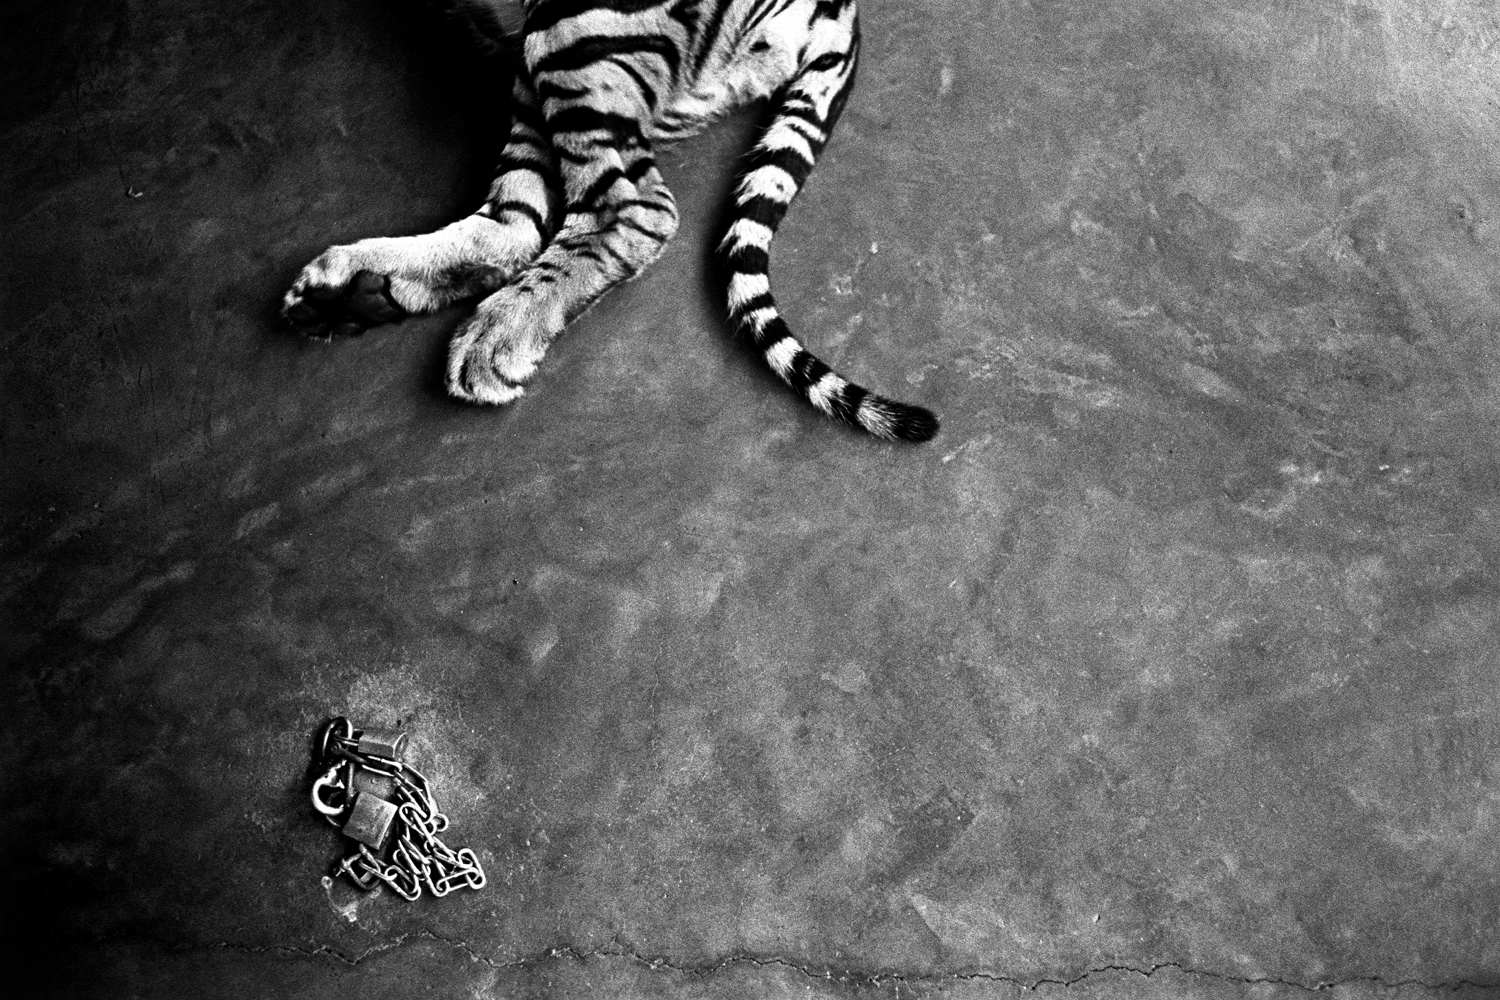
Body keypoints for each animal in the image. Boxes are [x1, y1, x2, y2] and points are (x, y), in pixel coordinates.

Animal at [282, 0, 939, 442]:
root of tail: (843, 8)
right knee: (518, 220)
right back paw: (350, 291)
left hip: (576, 27)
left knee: (632, 209)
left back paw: (493, 338)